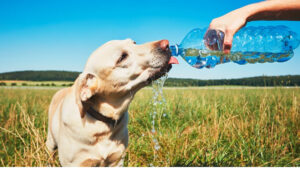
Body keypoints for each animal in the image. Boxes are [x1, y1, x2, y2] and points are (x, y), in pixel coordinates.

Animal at [45, 38, 177, 166]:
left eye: (134, 43)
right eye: (122, 57)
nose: (166, 44)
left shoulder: (117, 159)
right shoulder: (76, 163)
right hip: (50, 142)